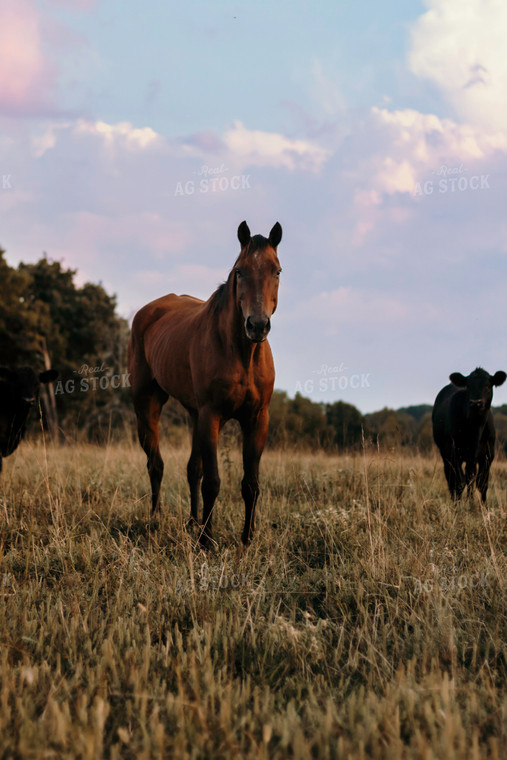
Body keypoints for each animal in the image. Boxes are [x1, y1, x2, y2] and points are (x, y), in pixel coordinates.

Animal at [128, 221, 282, 548]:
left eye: (277, 271)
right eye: (240, 271)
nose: (257, 325)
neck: (242, 354)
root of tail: (149, 311)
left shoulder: (256, 418)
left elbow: (250, 484)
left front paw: (247, 538)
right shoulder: (212, 415)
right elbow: (212, 482)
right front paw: (207, 541)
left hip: (194, 413)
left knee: (191, 469)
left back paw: (192, 522)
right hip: (148, 403)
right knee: (156, 464)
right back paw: (156, 519)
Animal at [432, 368, 507, 504]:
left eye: (488, 385)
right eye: (468, 386)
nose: (475, 403)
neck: (476, 430)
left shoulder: (488, 455)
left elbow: (481, 484)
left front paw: (481, 507)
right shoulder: (453, 451)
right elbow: (459, 482)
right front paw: (459, 506)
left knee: (469, 478)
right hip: (445, 454)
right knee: (451, 479)